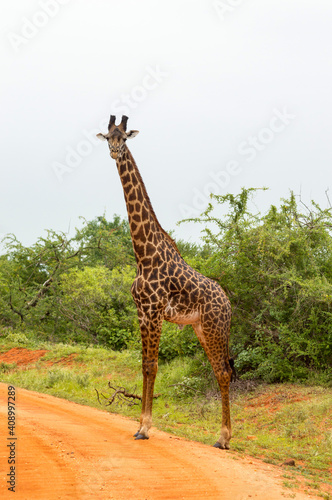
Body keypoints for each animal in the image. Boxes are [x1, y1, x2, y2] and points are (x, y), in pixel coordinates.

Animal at [96, 114, 233, 450]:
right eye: (108, 137)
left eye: (124, 139)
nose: (115, 152)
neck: (143, 254)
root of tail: (229, 303)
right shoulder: (142, 312)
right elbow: (145, 365)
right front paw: (139, 425)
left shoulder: (156, 312)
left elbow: (153, 366)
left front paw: (146, 427)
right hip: (201, 329)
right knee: (219, 370)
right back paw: (223, 435)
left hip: (215, 327)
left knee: (223, 372)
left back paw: (223, 438)